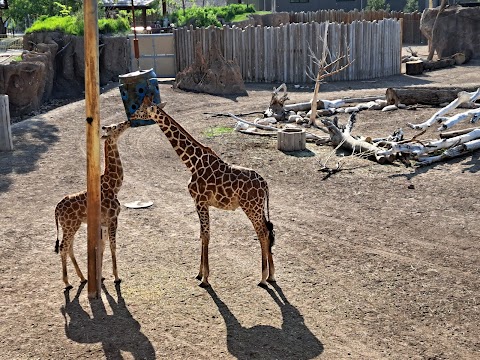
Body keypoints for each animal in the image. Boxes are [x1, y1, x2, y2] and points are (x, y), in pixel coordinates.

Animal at [54, 121, 130, 290]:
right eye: (115, 127)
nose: (127, 122)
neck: (114, 186)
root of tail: (56, 209)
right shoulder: (113, 218)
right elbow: (113, 246)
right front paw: (116, 277)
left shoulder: (103, 222)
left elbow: (102, 245)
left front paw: (100, 276)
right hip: (70, 225)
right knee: (63, 247)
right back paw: (67, 282)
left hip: (71, 226)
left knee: (69, 247)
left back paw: (82, 278)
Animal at [129, 95, 276, 286]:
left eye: (141, 108)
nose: (131, 116)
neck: (192, 163)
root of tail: (265, 184)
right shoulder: (198, 202)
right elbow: (201, 234)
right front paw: (199, 274)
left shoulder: (201, 201)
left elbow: (206, 235)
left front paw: (205, 278)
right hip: (258, 207)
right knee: (268, 231)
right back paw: (271, 275)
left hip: (251, 207)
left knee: (263, 233)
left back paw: (263, 277)